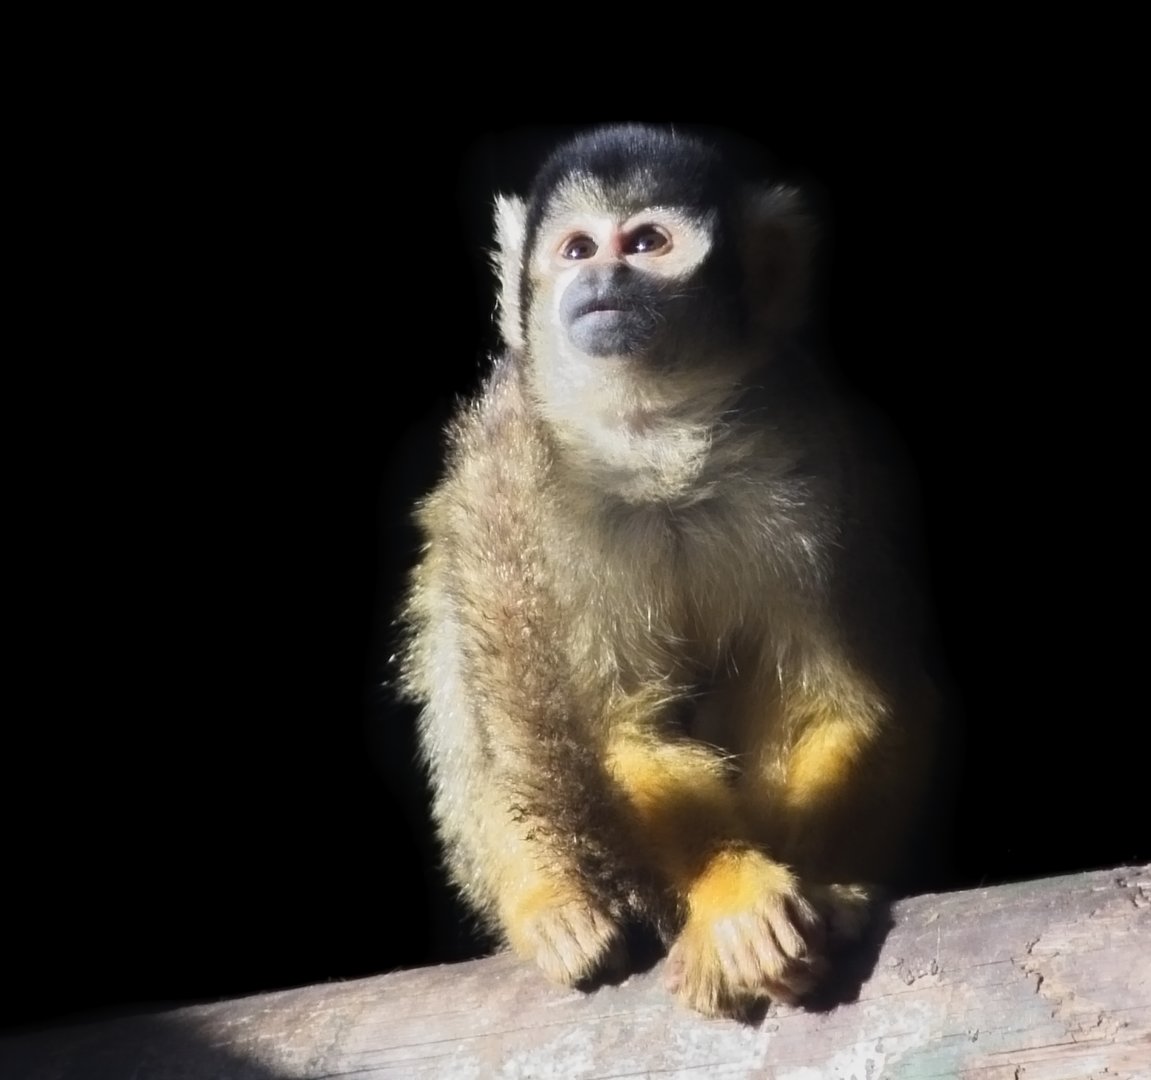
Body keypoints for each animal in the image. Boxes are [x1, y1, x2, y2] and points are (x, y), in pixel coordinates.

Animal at [399, 125, 945, 1018]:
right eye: (578, 248)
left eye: (646, 244)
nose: (603, 281)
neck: (655, 440)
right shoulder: (554, 505)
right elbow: (623, 720)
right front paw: (730, 895)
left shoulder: (803, 455)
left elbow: (838, 695)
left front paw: (823, 888)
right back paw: (549, 902)